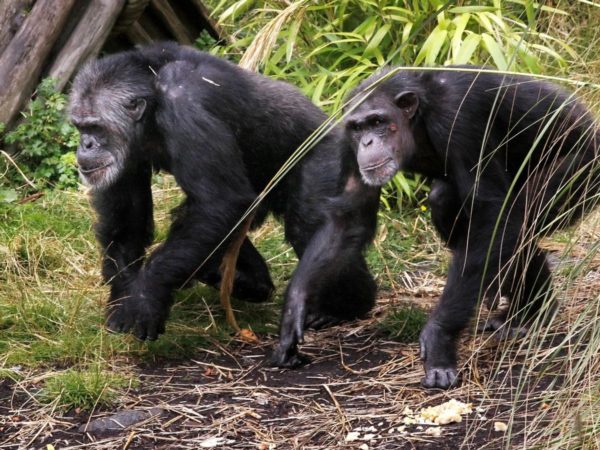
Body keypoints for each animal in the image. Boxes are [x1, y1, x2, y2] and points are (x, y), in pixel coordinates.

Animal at [69, 42, 380, 366]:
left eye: (96, 127)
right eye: (79, 127)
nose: (85, 145)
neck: (153, 96)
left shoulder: (186, 105)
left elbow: (218, 202)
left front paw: (146, 298)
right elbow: (128, 216)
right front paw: (122, 299)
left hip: (329, 159)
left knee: (307, 224)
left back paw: (349, 304)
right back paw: (248, 280)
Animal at [344, 66, 600, 386]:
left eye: (377, 122)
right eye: (357, 128)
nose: (366, 142)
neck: (420, 117)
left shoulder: (458, 116)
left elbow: (491, 211)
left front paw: (439, 338)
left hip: (582, 170)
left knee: (520, 215)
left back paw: (531, 313)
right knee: (451, 203)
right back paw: (526, 310)